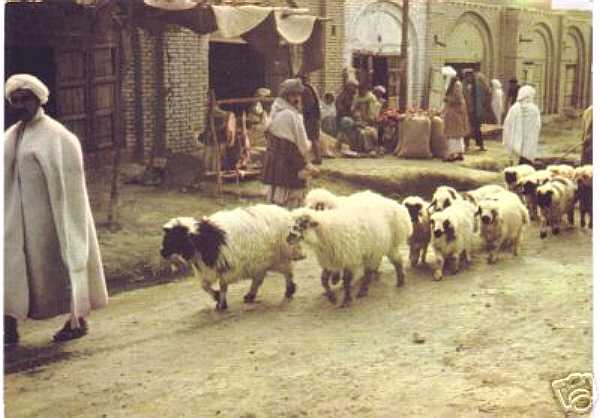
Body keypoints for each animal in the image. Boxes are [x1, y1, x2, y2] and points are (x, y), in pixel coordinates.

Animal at [162, 204, 298, 312]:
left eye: (174, 238)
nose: (162, 253)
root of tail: (286, 213)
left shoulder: (228, 268)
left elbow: (222, 285)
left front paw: (221, 304)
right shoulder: (208, 269)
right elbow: (205, 286)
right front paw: (216, 297)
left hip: (279, 256)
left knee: (288, 272)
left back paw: (289, 291)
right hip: (260, 261)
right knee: (259, 278)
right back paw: (250, 295)